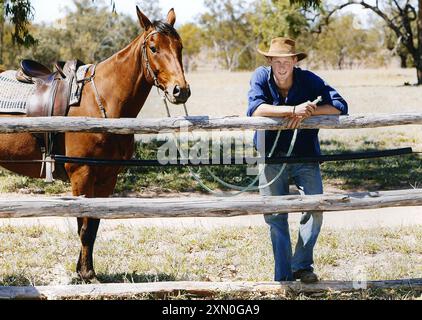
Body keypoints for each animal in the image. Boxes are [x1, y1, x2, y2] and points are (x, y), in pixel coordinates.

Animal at [0, 7, 190, 282]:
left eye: (180, 47)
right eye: (153, 48)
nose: (180, 91)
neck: (103, 100)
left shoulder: (107, 177)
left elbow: (95, 224)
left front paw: (85, 271)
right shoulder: (82, 175)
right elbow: (84, 226)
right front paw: (86, 275)